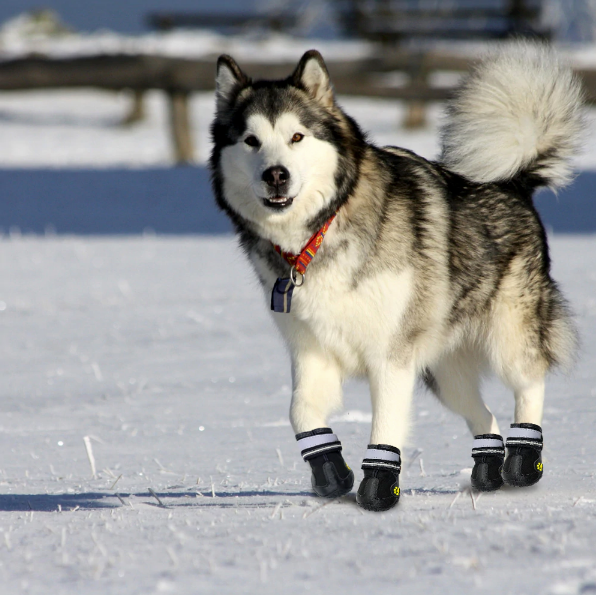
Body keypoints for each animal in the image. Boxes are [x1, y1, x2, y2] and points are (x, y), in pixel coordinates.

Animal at [210, 44, 584, 512]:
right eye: (251, 140)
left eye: (297, 137)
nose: (275, 174)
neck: (321, 232)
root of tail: (513, 182)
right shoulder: (311, 351)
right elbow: (300, 414)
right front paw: (330, 472)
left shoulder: (390, 356)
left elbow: (385, 425)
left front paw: (378, 489)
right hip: (443, 372)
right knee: (484, 413)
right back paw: (487, 467)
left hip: (508, 337)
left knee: (530, 383)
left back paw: (523, 459)